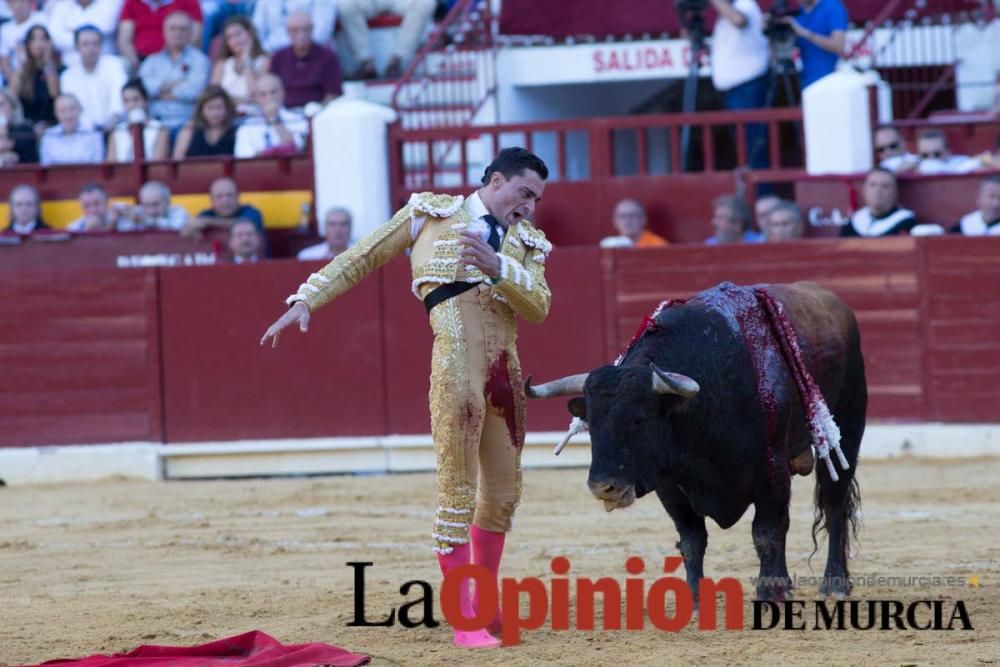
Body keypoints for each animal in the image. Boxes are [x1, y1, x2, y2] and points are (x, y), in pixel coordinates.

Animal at [528, 280, 864, 604]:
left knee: (833, 505)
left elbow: (767, 533)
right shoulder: (668, 483)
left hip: (848, 427)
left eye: (639, 419)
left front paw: (770, 593)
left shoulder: (771, 470)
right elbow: (692, 540)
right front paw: (693, 599)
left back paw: (834, 583)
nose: (602, 487)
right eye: (591, 424)